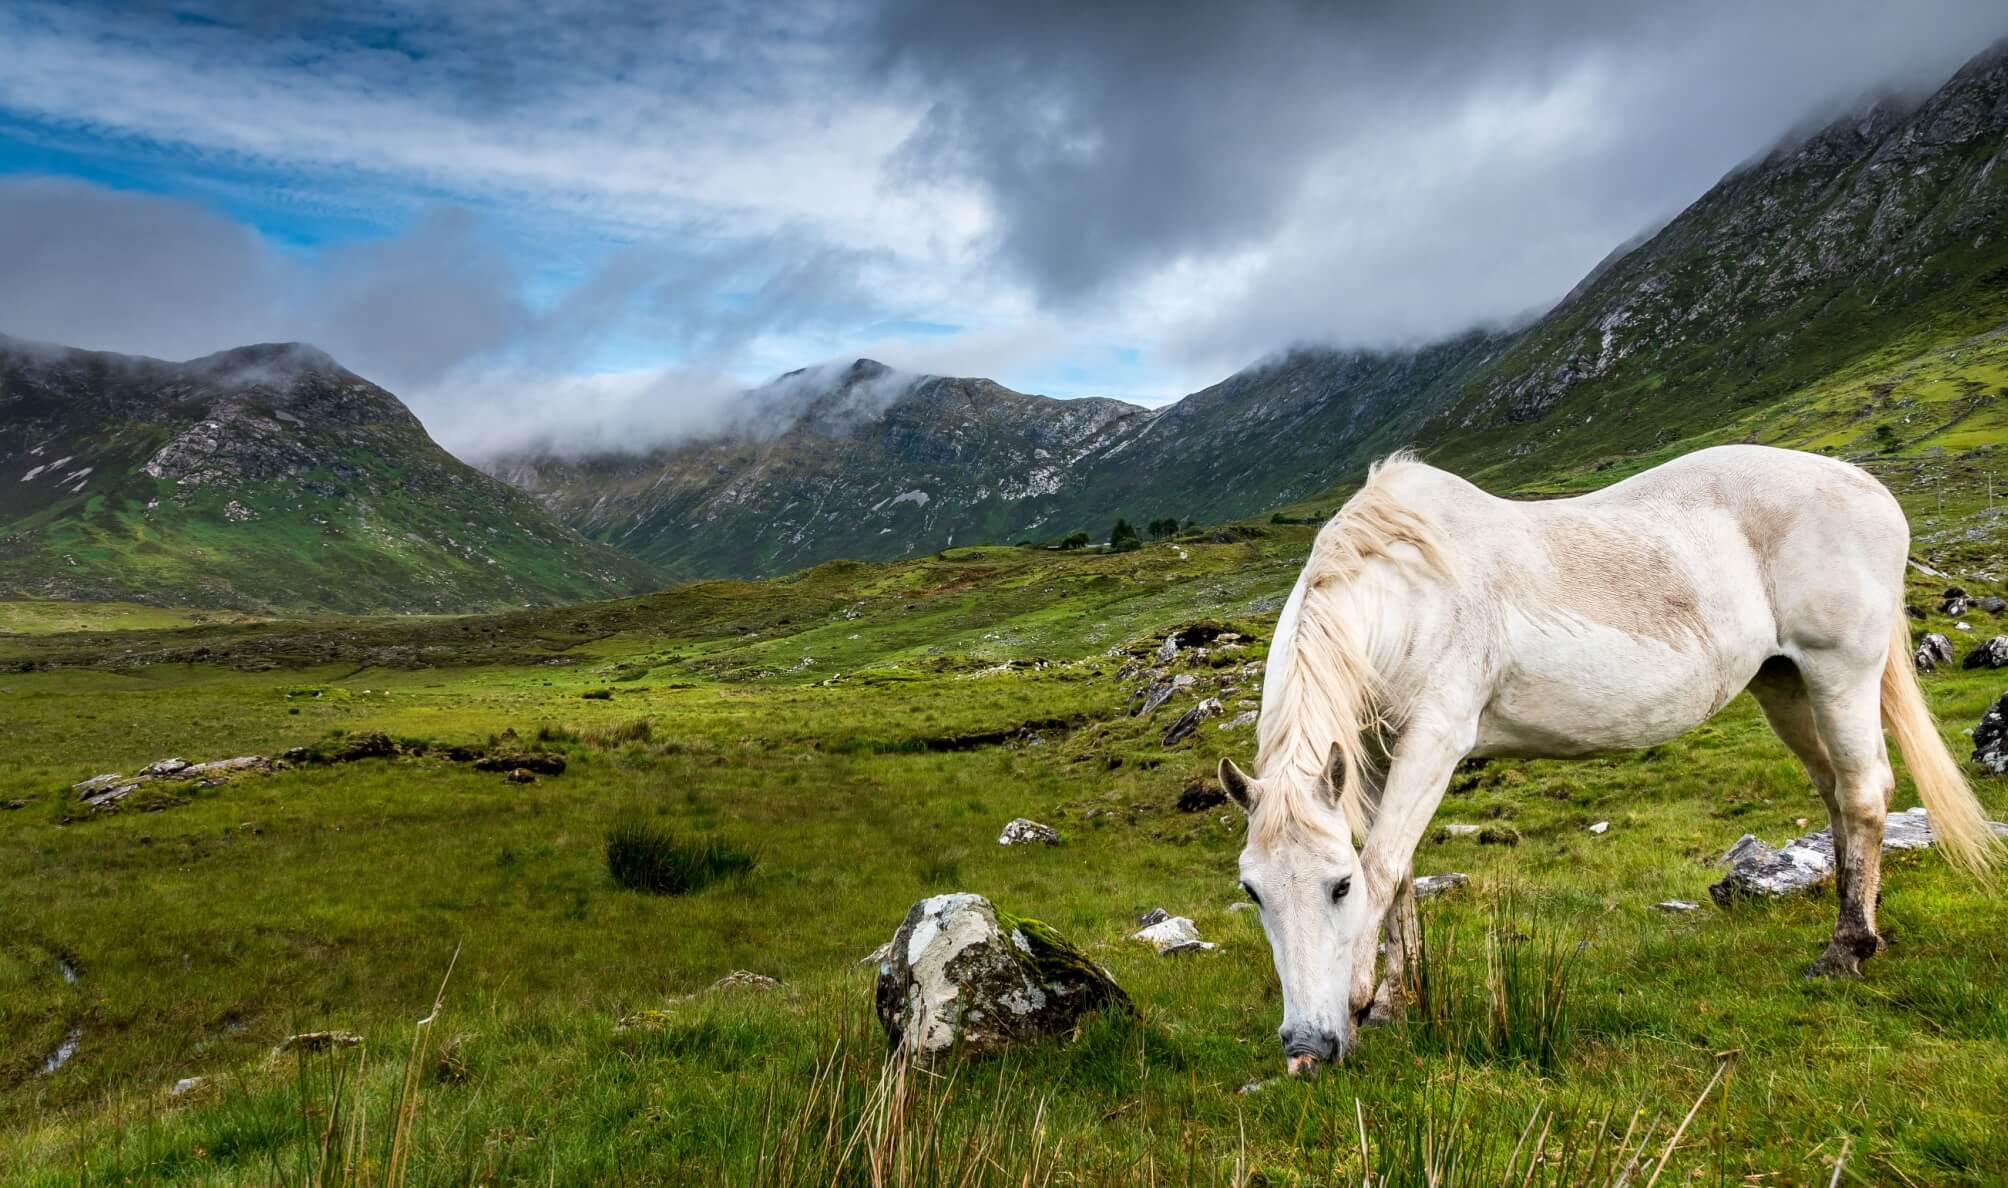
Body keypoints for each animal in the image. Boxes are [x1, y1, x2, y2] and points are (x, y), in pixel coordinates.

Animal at [1217, 444, 1999, 1078]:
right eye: (1253, 891)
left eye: (1338, 887)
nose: (1306, 1048)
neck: (1408, 591)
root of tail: (1870, 488)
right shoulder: (1376, 755)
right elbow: (1401, 870)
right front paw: (1394, 1002)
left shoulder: (1435, 739)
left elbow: (1383, 864)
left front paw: (1361, 1002)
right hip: (1784, 683)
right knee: (1836, 792)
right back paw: (1863, 927)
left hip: (1841, 672)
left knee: (1865, 792)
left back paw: (1844, 952)